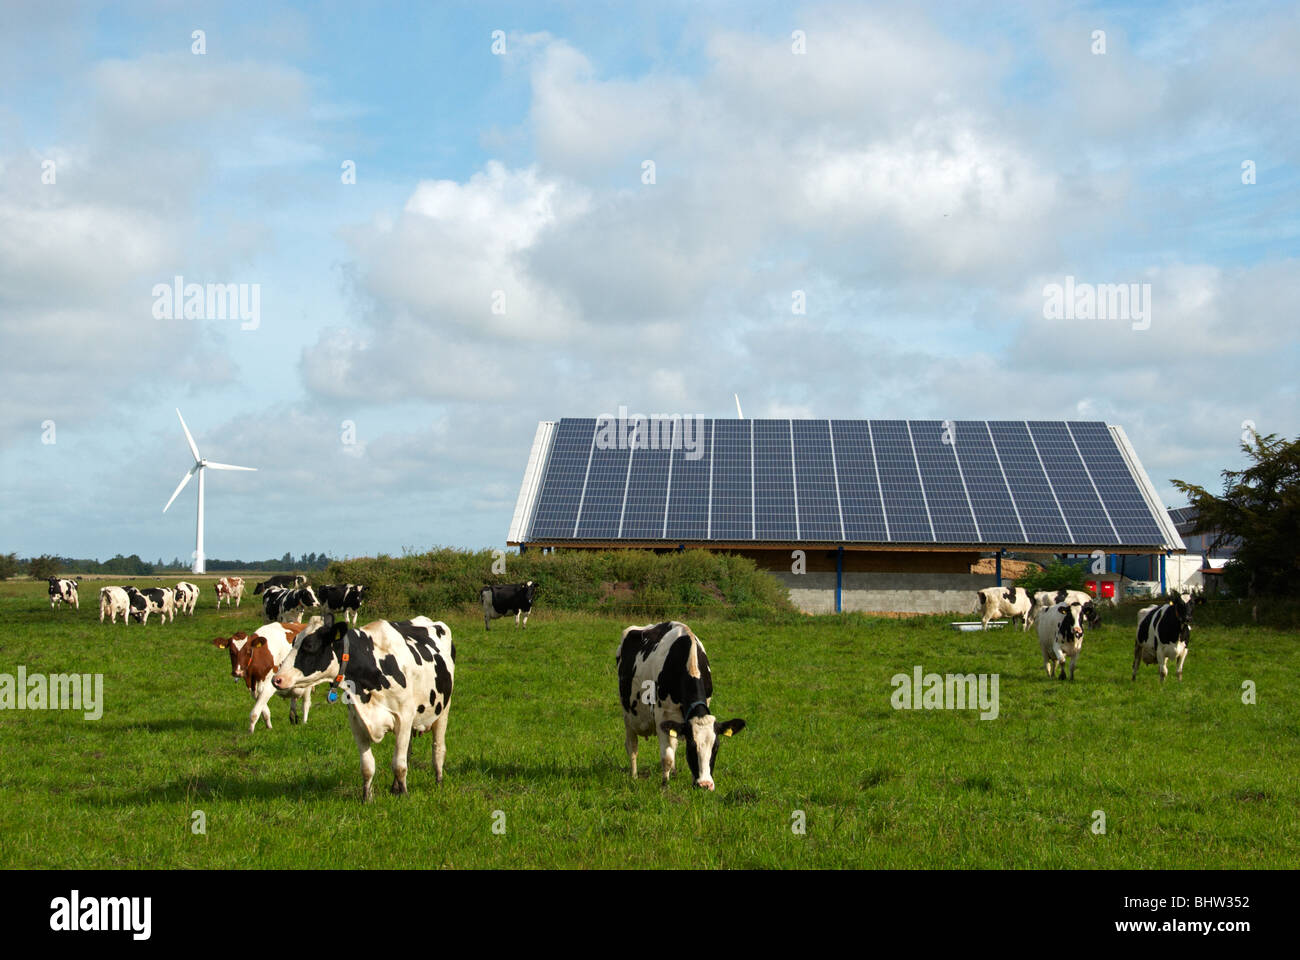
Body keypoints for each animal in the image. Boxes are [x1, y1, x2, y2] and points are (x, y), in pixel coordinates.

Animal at [273, 613, 457, 801]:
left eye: (309, 646)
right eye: (293, 642)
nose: (277, 679)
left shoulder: (404, 717)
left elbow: (399, 764)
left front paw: (404, 795)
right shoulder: (357, 721)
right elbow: (367, 766)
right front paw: (367, 797)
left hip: (443, 710)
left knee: (438, 748)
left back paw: (438, 782)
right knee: (407, 751)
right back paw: (395, 788)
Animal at [613, 616, 748, 790]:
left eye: (716, 747)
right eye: (692, 746)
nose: (705, 784)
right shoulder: (662, 715)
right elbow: (667, 757)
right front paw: (665, 785)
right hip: (628, 715)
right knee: (632, 746)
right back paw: (634, 776)